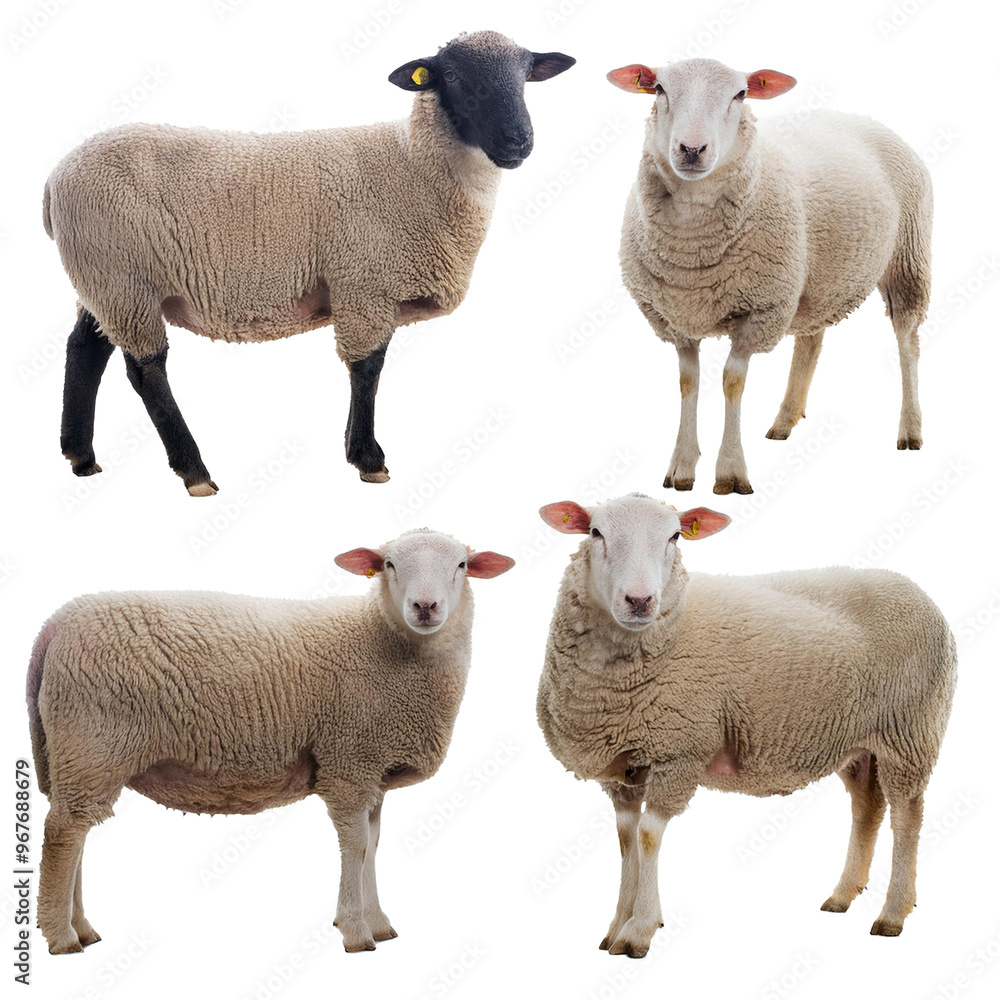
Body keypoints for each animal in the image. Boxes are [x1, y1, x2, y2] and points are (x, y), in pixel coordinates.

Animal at [26, 529, 514, 954]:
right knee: (64, 834)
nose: (425, 606)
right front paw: (355, 931)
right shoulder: (348, 761)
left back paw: (81, 927)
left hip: (77, 754)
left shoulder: (373, 769)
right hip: (93, 742)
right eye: (390, 564)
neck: (383, 642)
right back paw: (61, 936)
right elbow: (355, 845)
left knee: (78, 832)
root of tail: (55, 624)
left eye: (462, 565)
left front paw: (378, 922)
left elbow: (372, 845)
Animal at [46, 31, 574, 494]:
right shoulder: (364, 283)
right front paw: (368, 458)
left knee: (84, 349)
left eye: (526, 75)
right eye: (453, 76)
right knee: (145, 369)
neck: (412, 163)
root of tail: (55, 179)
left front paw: (356, 451)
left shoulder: (364, 288)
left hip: (101, 278)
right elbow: (367, 368)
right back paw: (193, 471)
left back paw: (81, 457)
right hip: (124, 277)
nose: (518, 141)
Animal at [536, 493, 956, 957]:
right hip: (858, 742)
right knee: (867, 808)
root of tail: (916, 590)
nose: (640, 600)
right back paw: (843, 894)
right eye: (595, 532)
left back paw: (893, 913)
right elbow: (627, 840)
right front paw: (616, 926)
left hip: (910, 731)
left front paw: (639, 930)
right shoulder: (624, 768)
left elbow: (647, 838)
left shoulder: (680, 751)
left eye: (675, 537)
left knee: (907, 817)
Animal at [607, 58, 932, 495]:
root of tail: (862, 118)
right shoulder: (674, 318)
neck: (693, 248)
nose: (691, 150)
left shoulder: (760, 311)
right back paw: (785, 420)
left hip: (907, 259)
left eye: (740, 94)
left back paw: (910, 429)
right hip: (814, 277)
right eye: (659, 89)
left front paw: (730, 472)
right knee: (811, 340)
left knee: (907, 342)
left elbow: (732, 381)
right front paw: (681, 467)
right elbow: (688, 383)